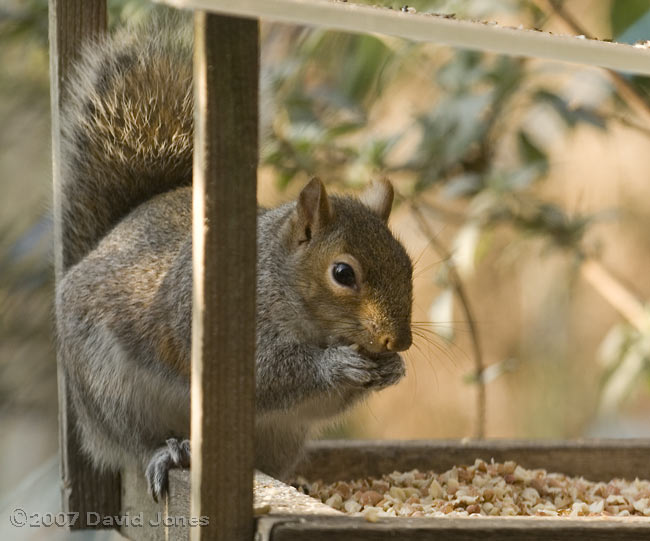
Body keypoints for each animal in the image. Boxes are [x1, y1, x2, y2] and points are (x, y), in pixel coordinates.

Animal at [55, 9, 410, 498]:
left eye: (407, 264)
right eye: (343, 273)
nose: (400, 341)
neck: (279, 282)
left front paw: (393, 368)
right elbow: (266, 377)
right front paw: (336, 363)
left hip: (281, 437)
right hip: (108, 389)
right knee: (131, 441)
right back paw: (168, 452)